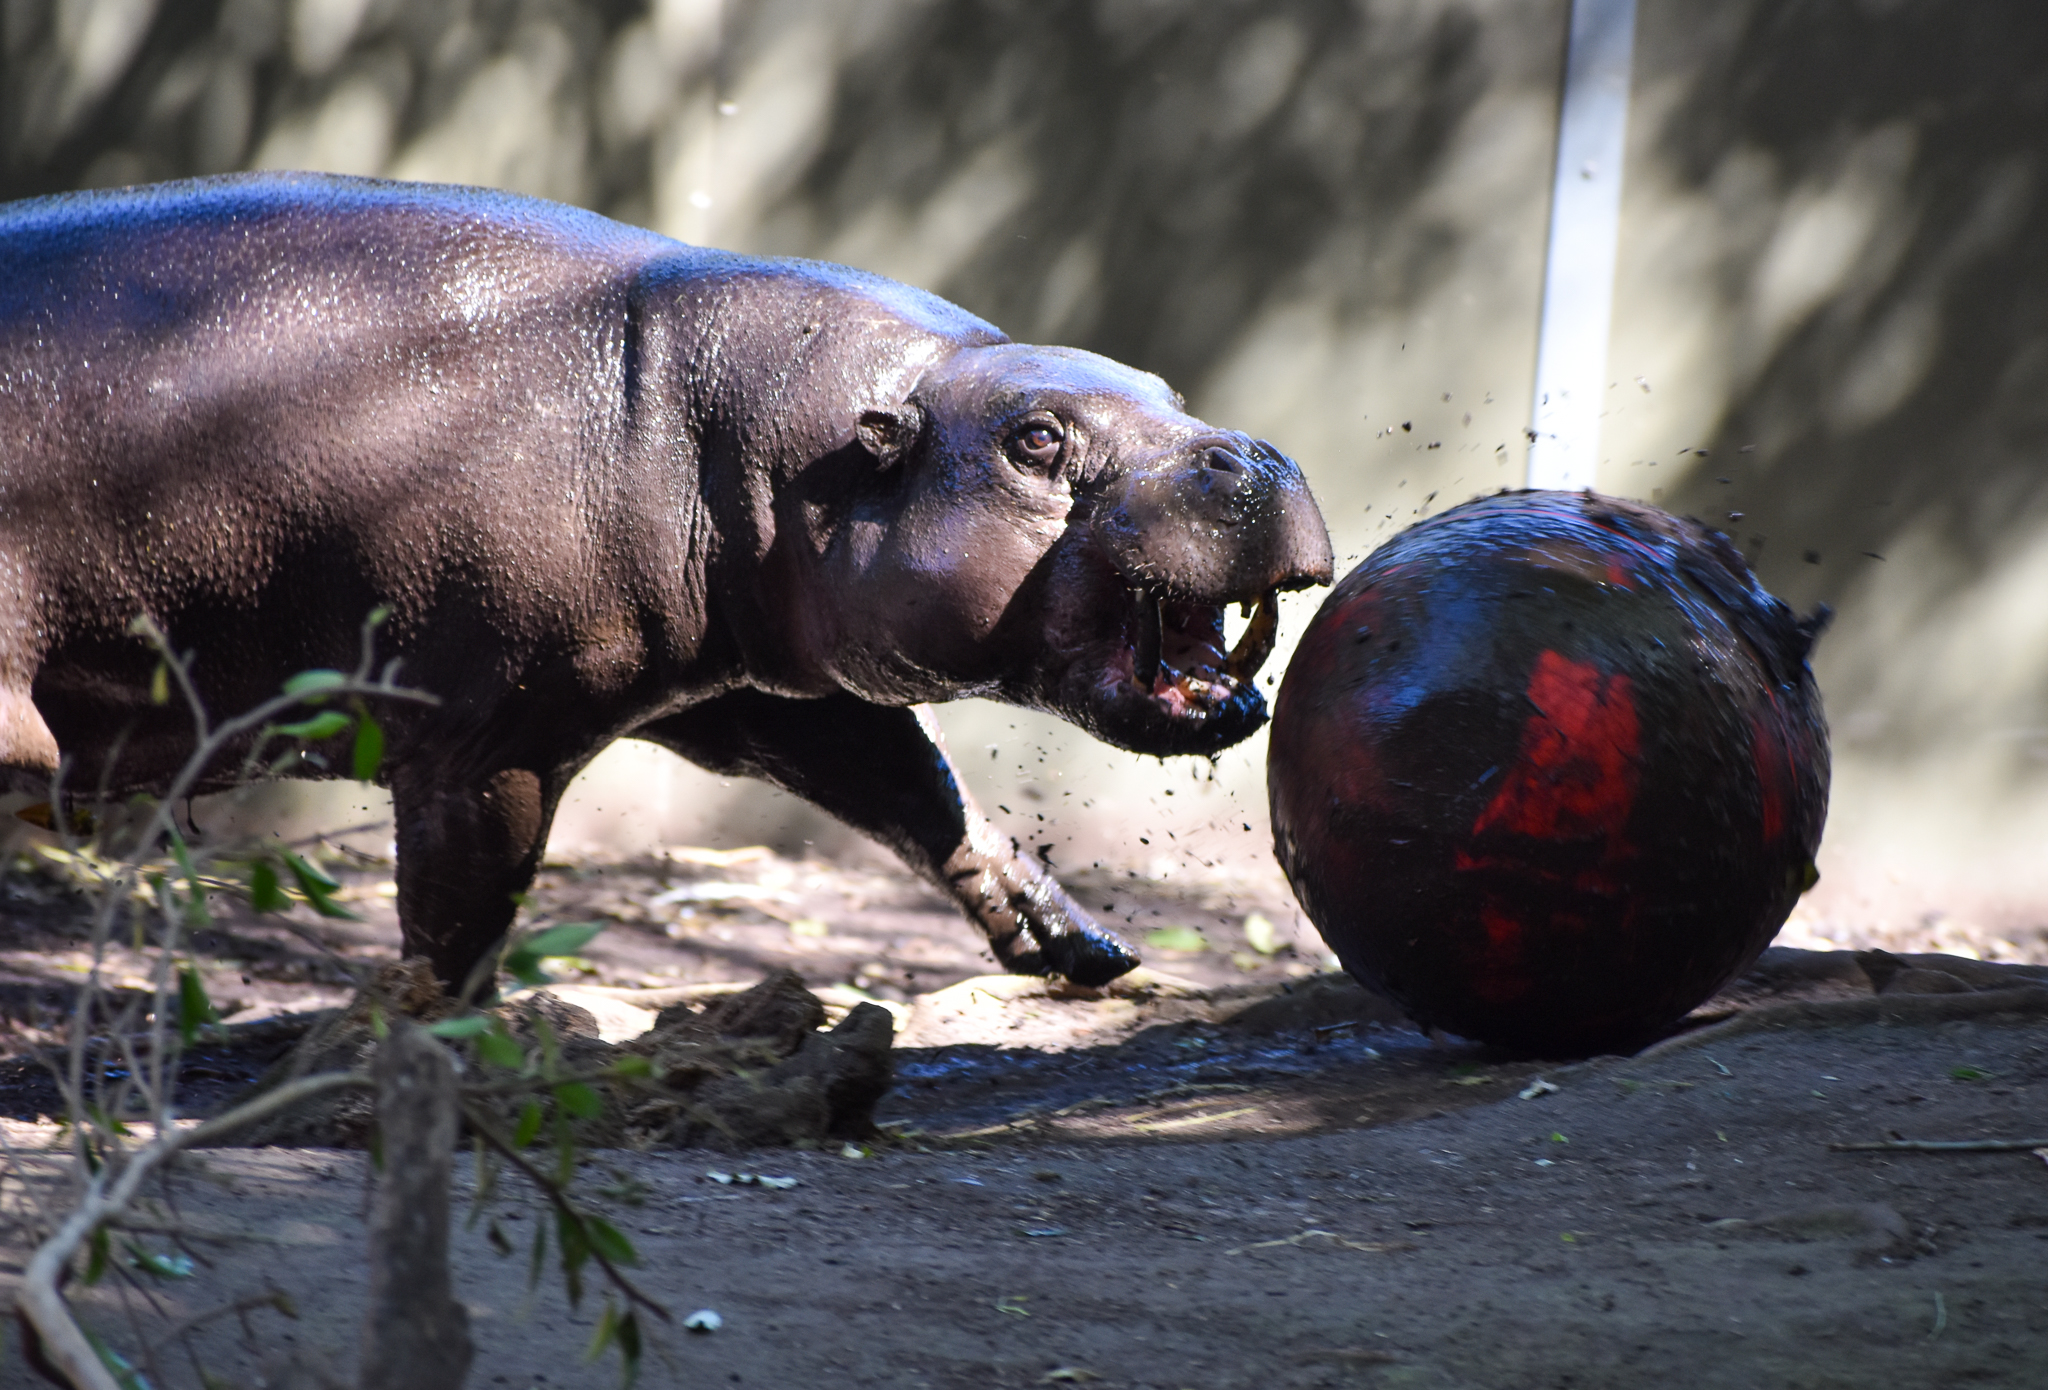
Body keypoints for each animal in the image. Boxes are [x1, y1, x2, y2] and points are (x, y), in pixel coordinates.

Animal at [0, 173, 1332, 991]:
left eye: (1161, 385)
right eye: (1036, 438)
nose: (1253, 452)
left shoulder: (756, 688)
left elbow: (913, 788)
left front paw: (1074, 941)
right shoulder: (487, 740)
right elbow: (461, 919)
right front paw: (420, 1043)